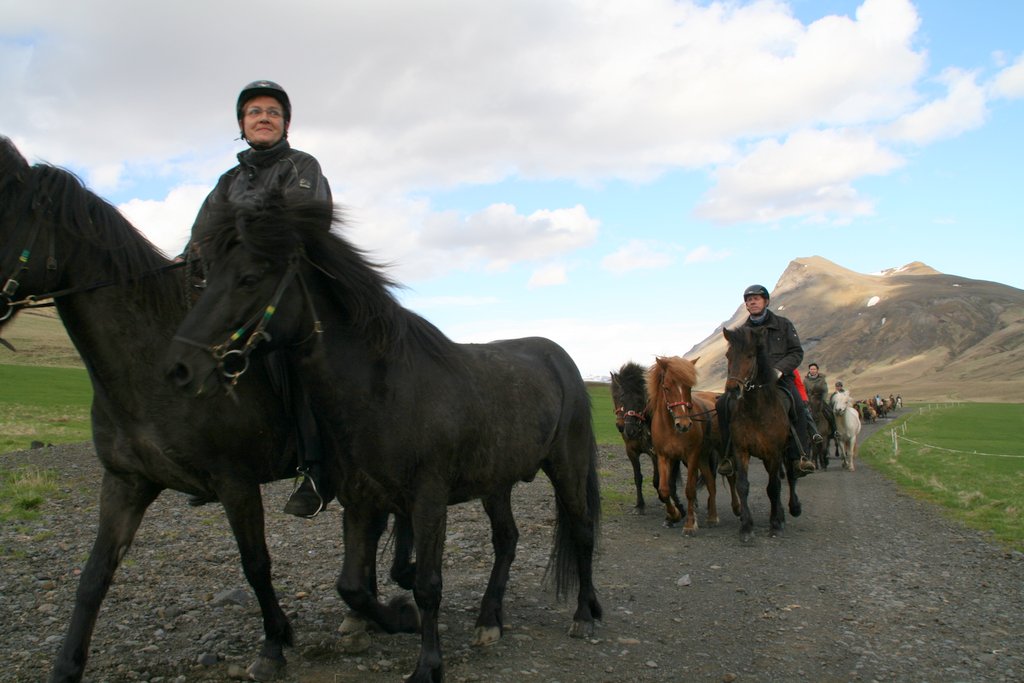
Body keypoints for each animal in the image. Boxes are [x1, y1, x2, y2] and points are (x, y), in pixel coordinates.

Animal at [0, 136, 413, 682]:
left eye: (1, 214)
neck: (145, 373)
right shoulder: (126, 482)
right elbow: (94, 576)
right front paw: (66, 666)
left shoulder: (234, 481)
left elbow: (255, 564)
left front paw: (274, 643)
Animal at [165, 195, 603, 683]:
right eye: (208, 278)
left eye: (248, 278)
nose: (180, 368)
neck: (384, 390)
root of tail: (560, 359)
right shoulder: (361, 501)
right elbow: (353, 586)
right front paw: (397, 617)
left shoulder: (427, 500)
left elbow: (429, 584)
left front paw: (427, 664)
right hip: (496, 482)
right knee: (507, 540)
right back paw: (490, 620)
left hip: (567, 467)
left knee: (582, 532)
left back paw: (583, 616)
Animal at [610, 360, 679, 516]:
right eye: (619, 398)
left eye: (641, 399)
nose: (624, 428)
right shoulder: (631, 451)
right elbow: (638, 477)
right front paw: (640, 505)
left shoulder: (655, 453)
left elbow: (656, 479)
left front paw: (663, 498)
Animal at [645, 356, 738, 535]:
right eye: (666, 388)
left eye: (688, 387)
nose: (684, 424)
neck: (671, 428)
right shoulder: (664, 456)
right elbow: (664, 489)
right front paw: (674, 515)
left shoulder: (692, 456)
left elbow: (690, 489)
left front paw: (689, 524)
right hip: (703, 456)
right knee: (711, 483)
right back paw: (712, 517)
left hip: (720, 450)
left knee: (730, 478)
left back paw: (737, 508)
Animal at [721, 326, 803, 542]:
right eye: (728, 355)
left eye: (750, 356)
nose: (733, 389)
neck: (756, 411)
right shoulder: (741, 450)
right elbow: (743, 485)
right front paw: (746, 527)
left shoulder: (774, 452)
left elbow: (773, 487)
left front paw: (775, 524)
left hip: (785, 451)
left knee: (790, 476)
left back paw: (792, 509)